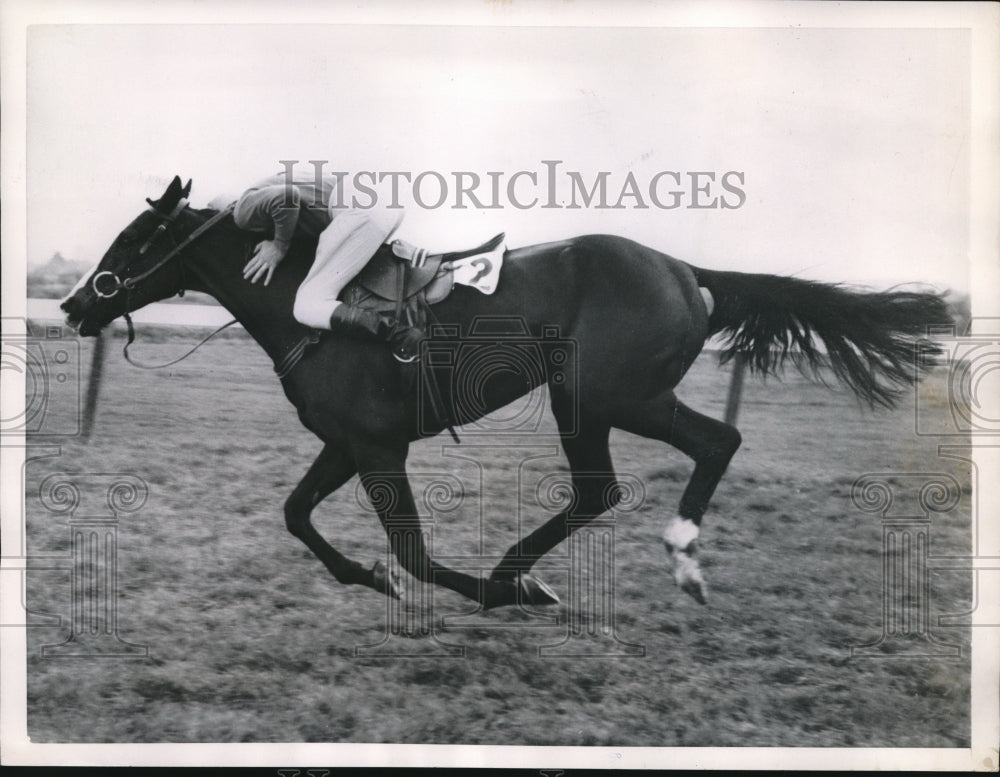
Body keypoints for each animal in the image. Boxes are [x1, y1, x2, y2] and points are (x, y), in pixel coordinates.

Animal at [58, 176, 948, 608]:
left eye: (132, 241)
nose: (72, 304)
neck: (308, 305)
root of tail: (684, 269)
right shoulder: (347, 441)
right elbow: (296, 515)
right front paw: (370, 577)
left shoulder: (377, 445)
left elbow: (413, 552)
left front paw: (492, 592)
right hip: (597, 400)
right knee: (607, 487)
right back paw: (545, 565)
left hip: (604, 393)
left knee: (699, 447)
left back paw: (654, 559)